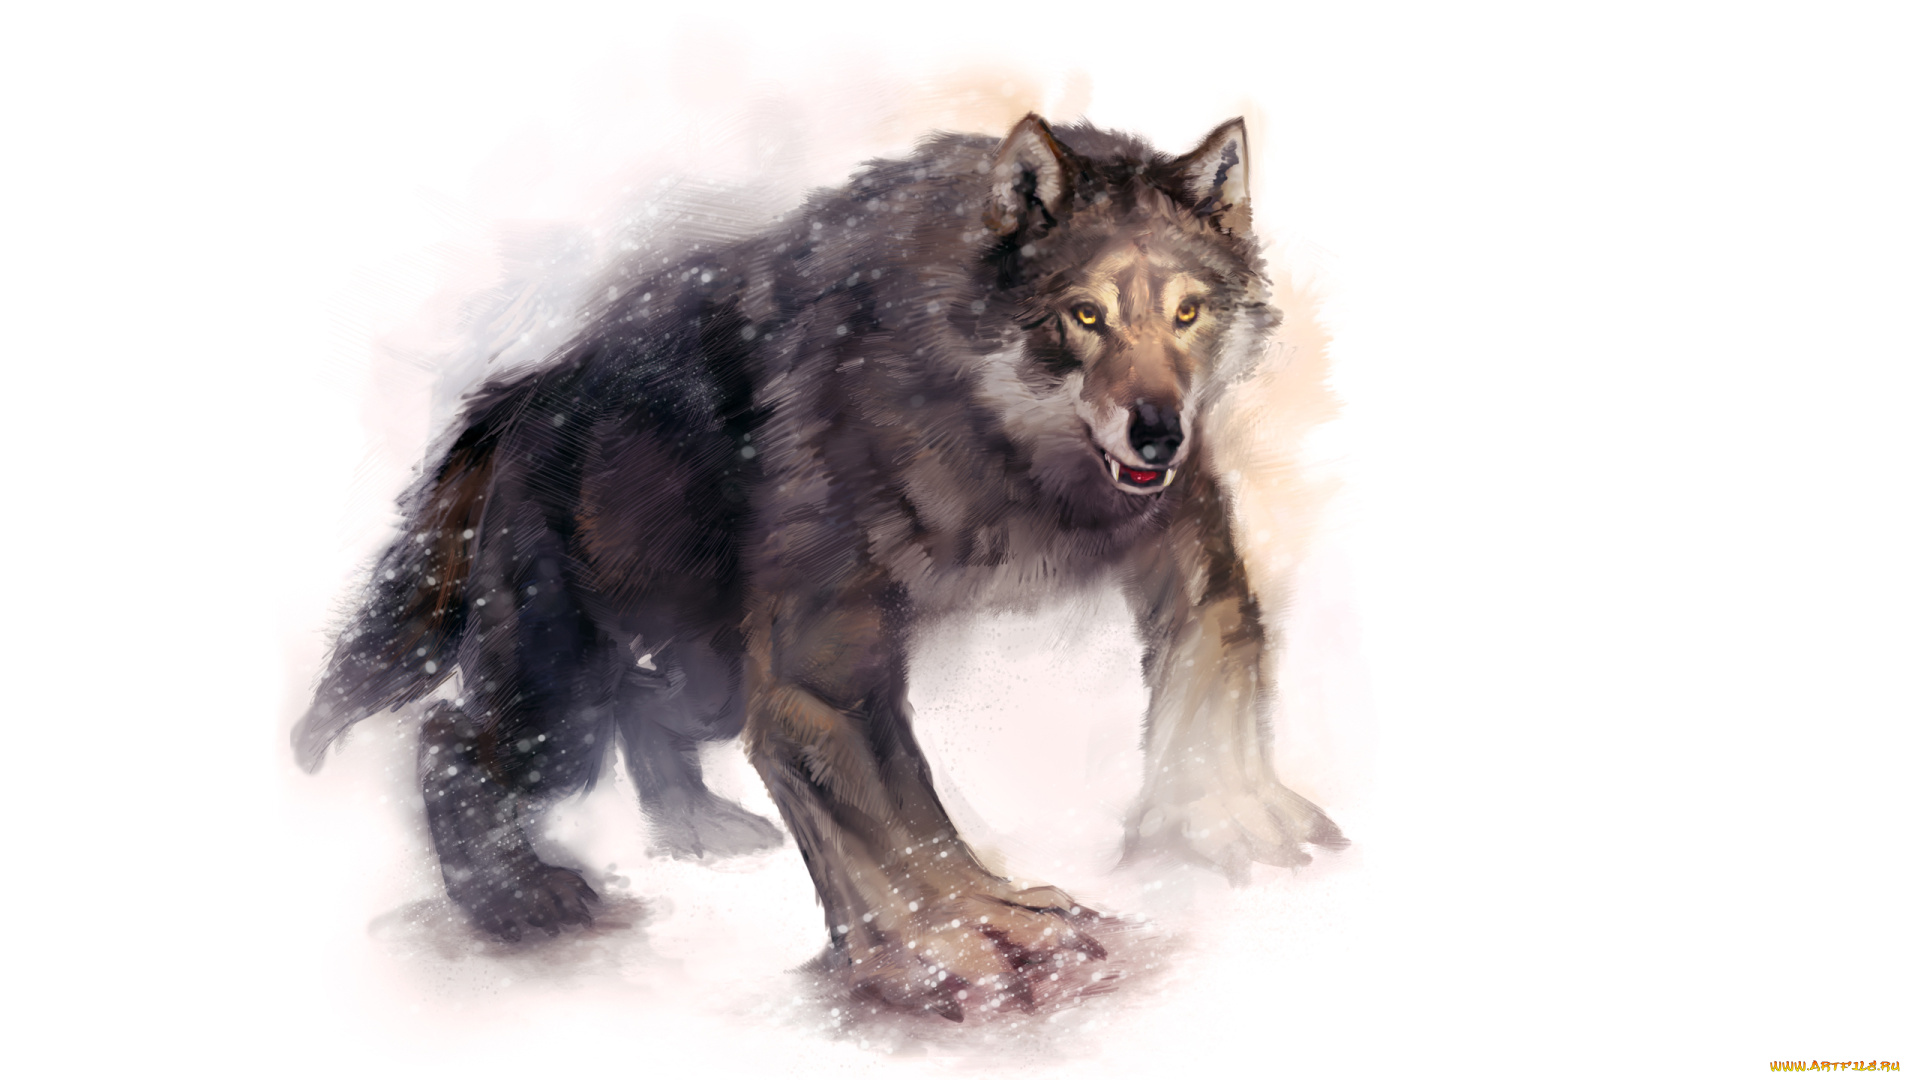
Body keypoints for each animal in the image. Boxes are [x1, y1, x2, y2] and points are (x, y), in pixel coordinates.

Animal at [294, 113, 1346, 1018]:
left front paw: (1231, 829)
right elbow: (899, 821)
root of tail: (527, 387)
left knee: (644, 711)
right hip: (564, 700)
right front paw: (971, 943)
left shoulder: (1191, 563)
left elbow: (1215, 678)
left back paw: (696, 828)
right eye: (1083, 316)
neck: (1013, 454)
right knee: (448, 739)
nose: (1157, 431)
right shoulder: (825, 679)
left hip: (702, 679)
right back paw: (514, 904)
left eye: (1188, 313)